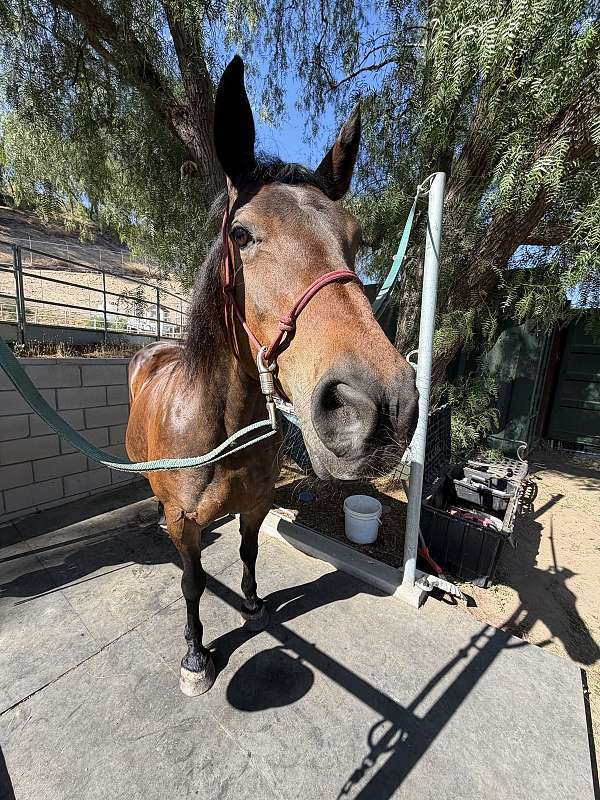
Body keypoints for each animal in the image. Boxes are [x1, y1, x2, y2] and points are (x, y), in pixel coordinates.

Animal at [126, 55, 418, 696]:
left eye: (356, 238)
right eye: (241, 234)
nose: (380, 407)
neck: (221, 429)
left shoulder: (257, 504)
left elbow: (249, 553)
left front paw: (255, 606)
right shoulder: (186, 526)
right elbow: (192, 583)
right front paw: (196, 656)